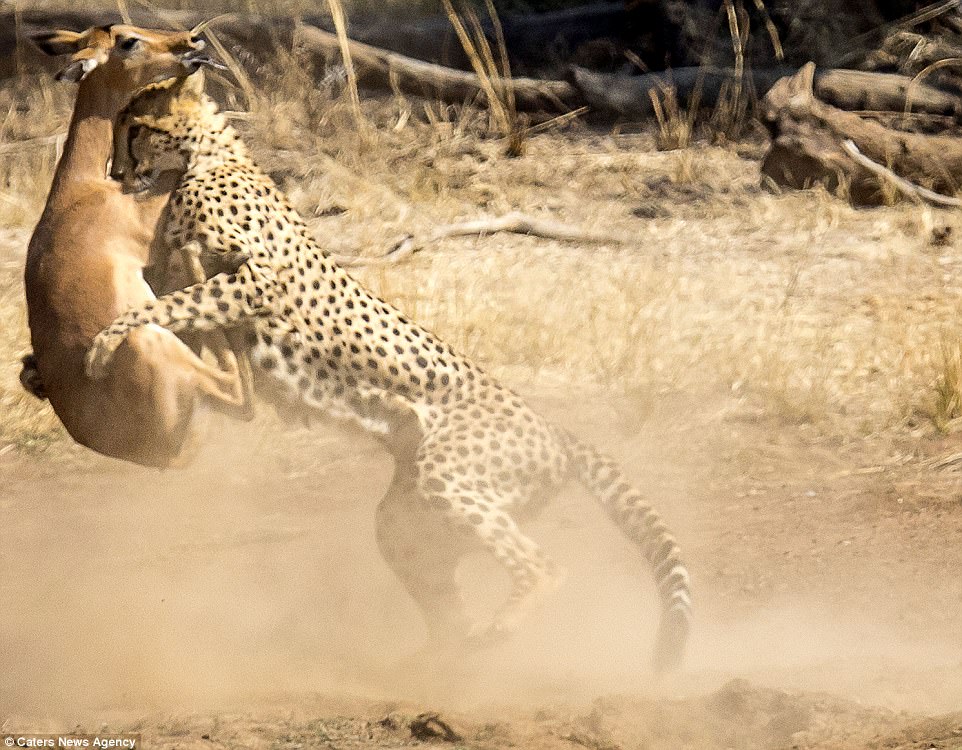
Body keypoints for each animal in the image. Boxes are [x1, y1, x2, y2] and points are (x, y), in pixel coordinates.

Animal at [86, 72, 688, 668]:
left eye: (135, 128)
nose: (117, 173)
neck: (207, 157)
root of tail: (554, 428)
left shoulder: (256, 281)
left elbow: (163, 305)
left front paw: (104, 341)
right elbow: (174, 305)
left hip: (449, 480)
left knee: (545, 568)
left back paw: (498, 629)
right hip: (405, 520)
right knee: (443, 598)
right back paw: (433, 664)